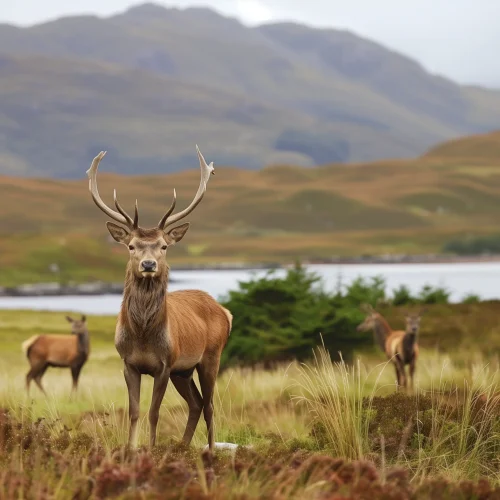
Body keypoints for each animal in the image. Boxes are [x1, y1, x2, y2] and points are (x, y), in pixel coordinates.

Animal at [86, 146, 232, 452]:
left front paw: (151, 449)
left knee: (210, 405)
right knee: (196, 403)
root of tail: (225, 311)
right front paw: (132, 449)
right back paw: (182, 447)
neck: (142, 335)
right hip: (183, 371)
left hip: (210, 357)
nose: (149, 264)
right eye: (131, 246)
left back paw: (211, 450)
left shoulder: (165, 364)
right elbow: (134, 411)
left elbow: (154, 412)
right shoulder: (129, 363)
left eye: (164, 246)